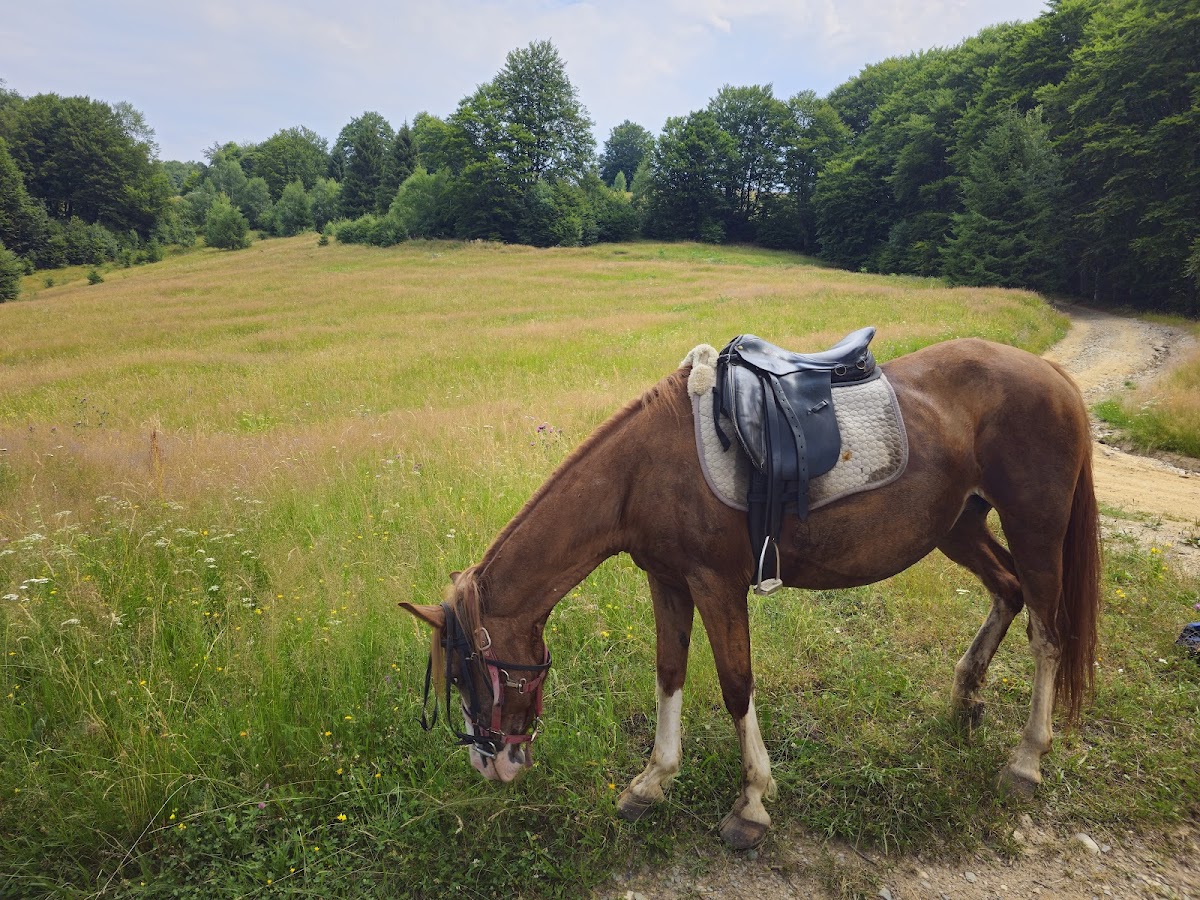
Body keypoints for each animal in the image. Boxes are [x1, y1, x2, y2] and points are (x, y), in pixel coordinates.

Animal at [401, 335, 1101, 850]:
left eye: (466, 673)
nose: (492, 764)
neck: (643, 471)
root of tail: (1052, 375)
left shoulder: (717, 585)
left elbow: (736, 685)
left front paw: (753, 805)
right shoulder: (668, 581)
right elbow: (669, 673)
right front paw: (651, 783)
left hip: (1035, 529)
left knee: (1048, 634)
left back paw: (1026, 761)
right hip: (959, 526)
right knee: (1007, 591)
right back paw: (966, 698)